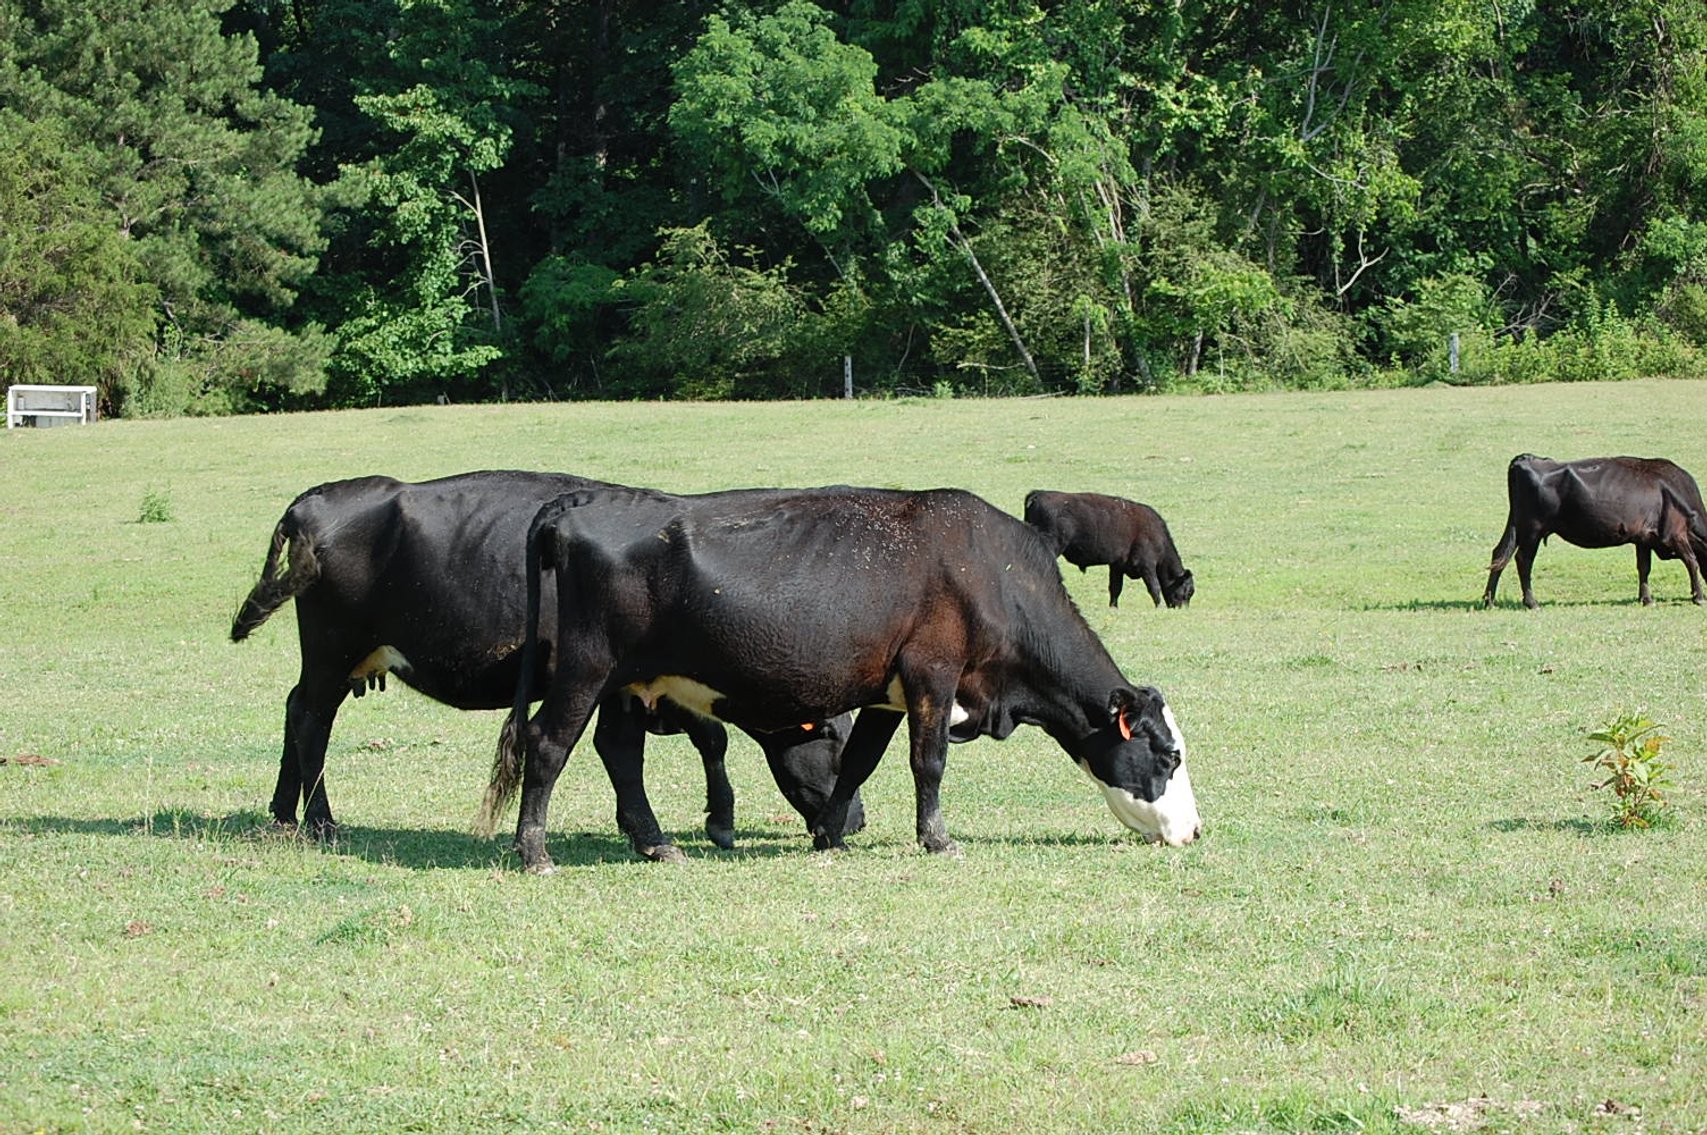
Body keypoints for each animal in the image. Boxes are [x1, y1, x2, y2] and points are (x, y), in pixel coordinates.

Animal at [229, 472, 862, 850]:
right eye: (830, 732)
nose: (856, 820)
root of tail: (317, 498)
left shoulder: (632, 688)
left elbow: (650, 746)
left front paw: (650, 828)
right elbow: (698, 740)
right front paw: (711, 822)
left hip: (335, 661)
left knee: (294, 711)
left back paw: (283, 813)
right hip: (332, 653)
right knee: (311, 720)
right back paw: (320, 821)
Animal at [1023, 489, 1194, 609]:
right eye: (1187, 591)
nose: (1182, 608)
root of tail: (1038, 494)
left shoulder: (1117, 565)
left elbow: (1115, 587)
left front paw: (1114, 607)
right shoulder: (1147, 565)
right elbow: (1154, 587)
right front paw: (1159, 606)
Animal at [1481, 455, 1707, 609]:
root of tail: (1526, 459)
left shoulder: (1643, 538)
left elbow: (1644, 568)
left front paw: (1646, 599)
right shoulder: (1675, 534)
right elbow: (1692, 561)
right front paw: (1699, 597)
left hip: (1517, 525)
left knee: (1500, 554)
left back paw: (1489, 601)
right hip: (1532, 530)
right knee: (1523, 560)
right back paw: (1531, 602)